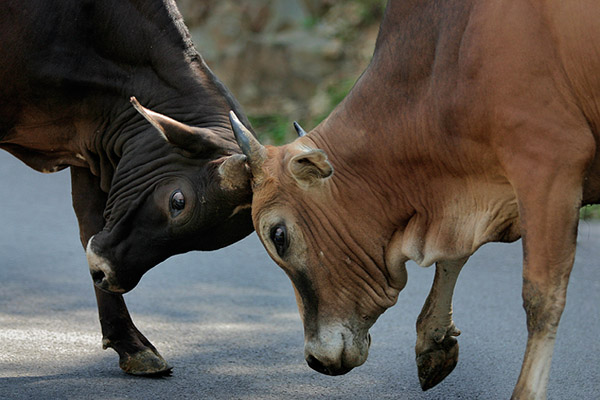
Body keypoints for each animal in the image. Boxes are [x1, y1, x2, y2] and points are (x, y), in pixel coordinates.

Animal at [0, 0, 254, 376]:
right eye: (178, 201)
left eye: (211, 241)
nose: (109, 273)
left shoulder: (93, 154)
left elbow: (89, 226)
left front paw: (131, 344)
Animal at [227, 0, 596, 398]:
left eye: (278, 236)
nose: (315, 360)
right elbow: (452, 258)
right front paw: (433, 340)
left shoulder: (547, 160)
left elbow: (542, 298)